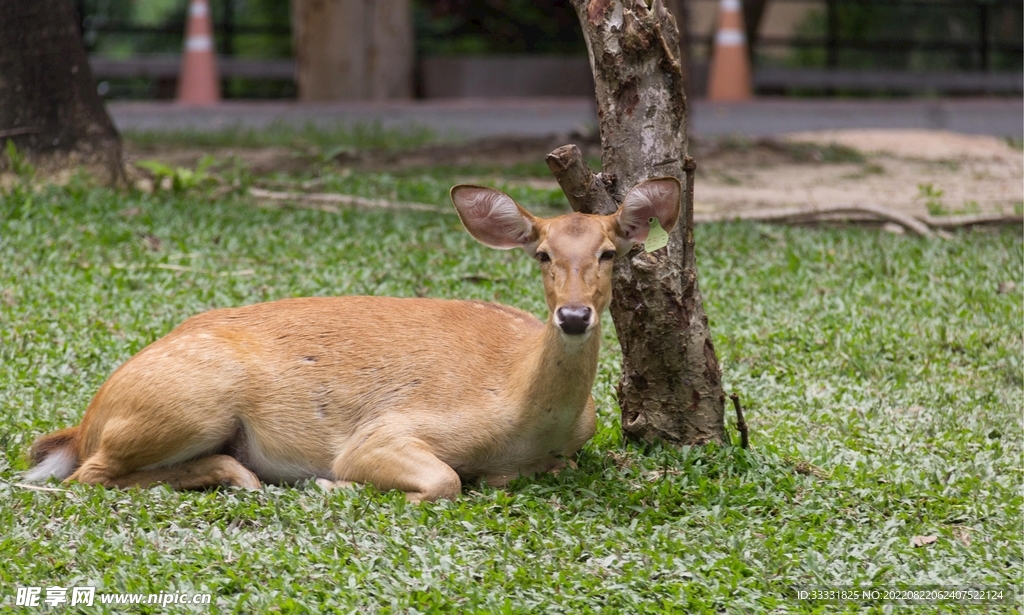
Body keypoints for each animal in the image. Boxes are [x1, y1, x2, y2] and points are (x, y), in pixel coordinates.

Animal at [25, 178, 681, 502]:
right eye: (542, 253)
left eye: (609, 252)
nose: (573, 315)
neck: (523, 412)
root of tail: (87, 420)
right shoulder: (387, 429)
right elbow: (443, 481)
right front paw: (332, 484)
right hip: (192, 398)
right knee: (89, 476)